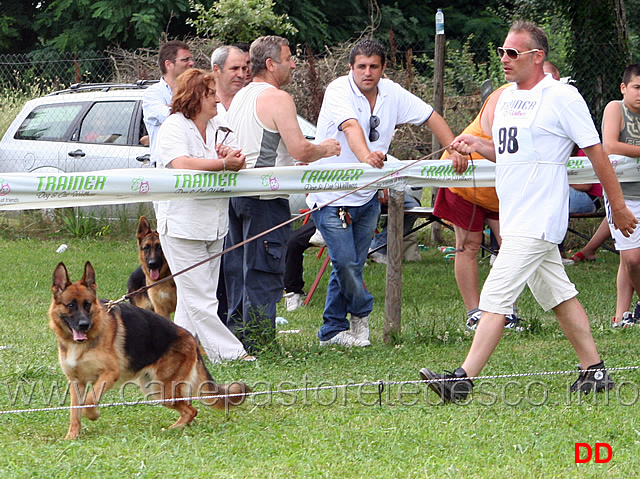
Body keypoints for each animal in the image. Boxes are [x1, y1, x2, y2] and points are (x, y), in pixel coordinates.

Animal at [47, 260, 246, 440]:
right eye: (71, 305)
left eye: (88, 304)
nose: (84, 325)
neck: (80, 345)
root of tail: (190, 337)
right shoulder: (76, 382)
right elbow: (75, 411)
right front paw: (71, 436)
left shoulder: (109, 374)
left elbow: (89, 400)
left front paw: (93, 414)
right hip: (155, 389)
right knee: (189, 408)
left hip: (162, 390)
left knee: (191, 409)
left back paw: (172, 429)